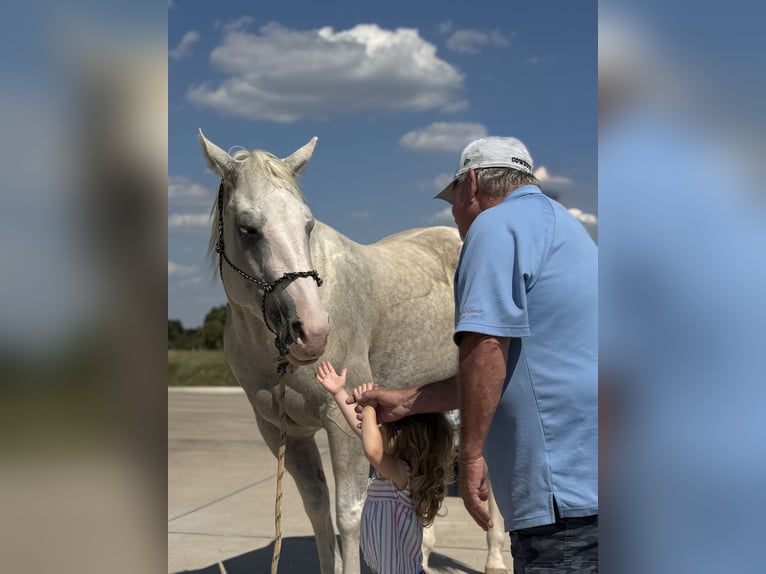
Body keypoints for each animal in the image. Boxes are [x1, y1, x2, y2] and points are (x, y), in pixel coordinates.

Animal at [199, 131, 508, 574]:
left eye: (307, 224)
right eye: (248, 228)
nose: (311, 333)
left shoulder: (343, 422)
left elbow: (348, 514)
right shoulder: (283, 431)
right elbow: (316, 509)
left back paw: (496, 556)